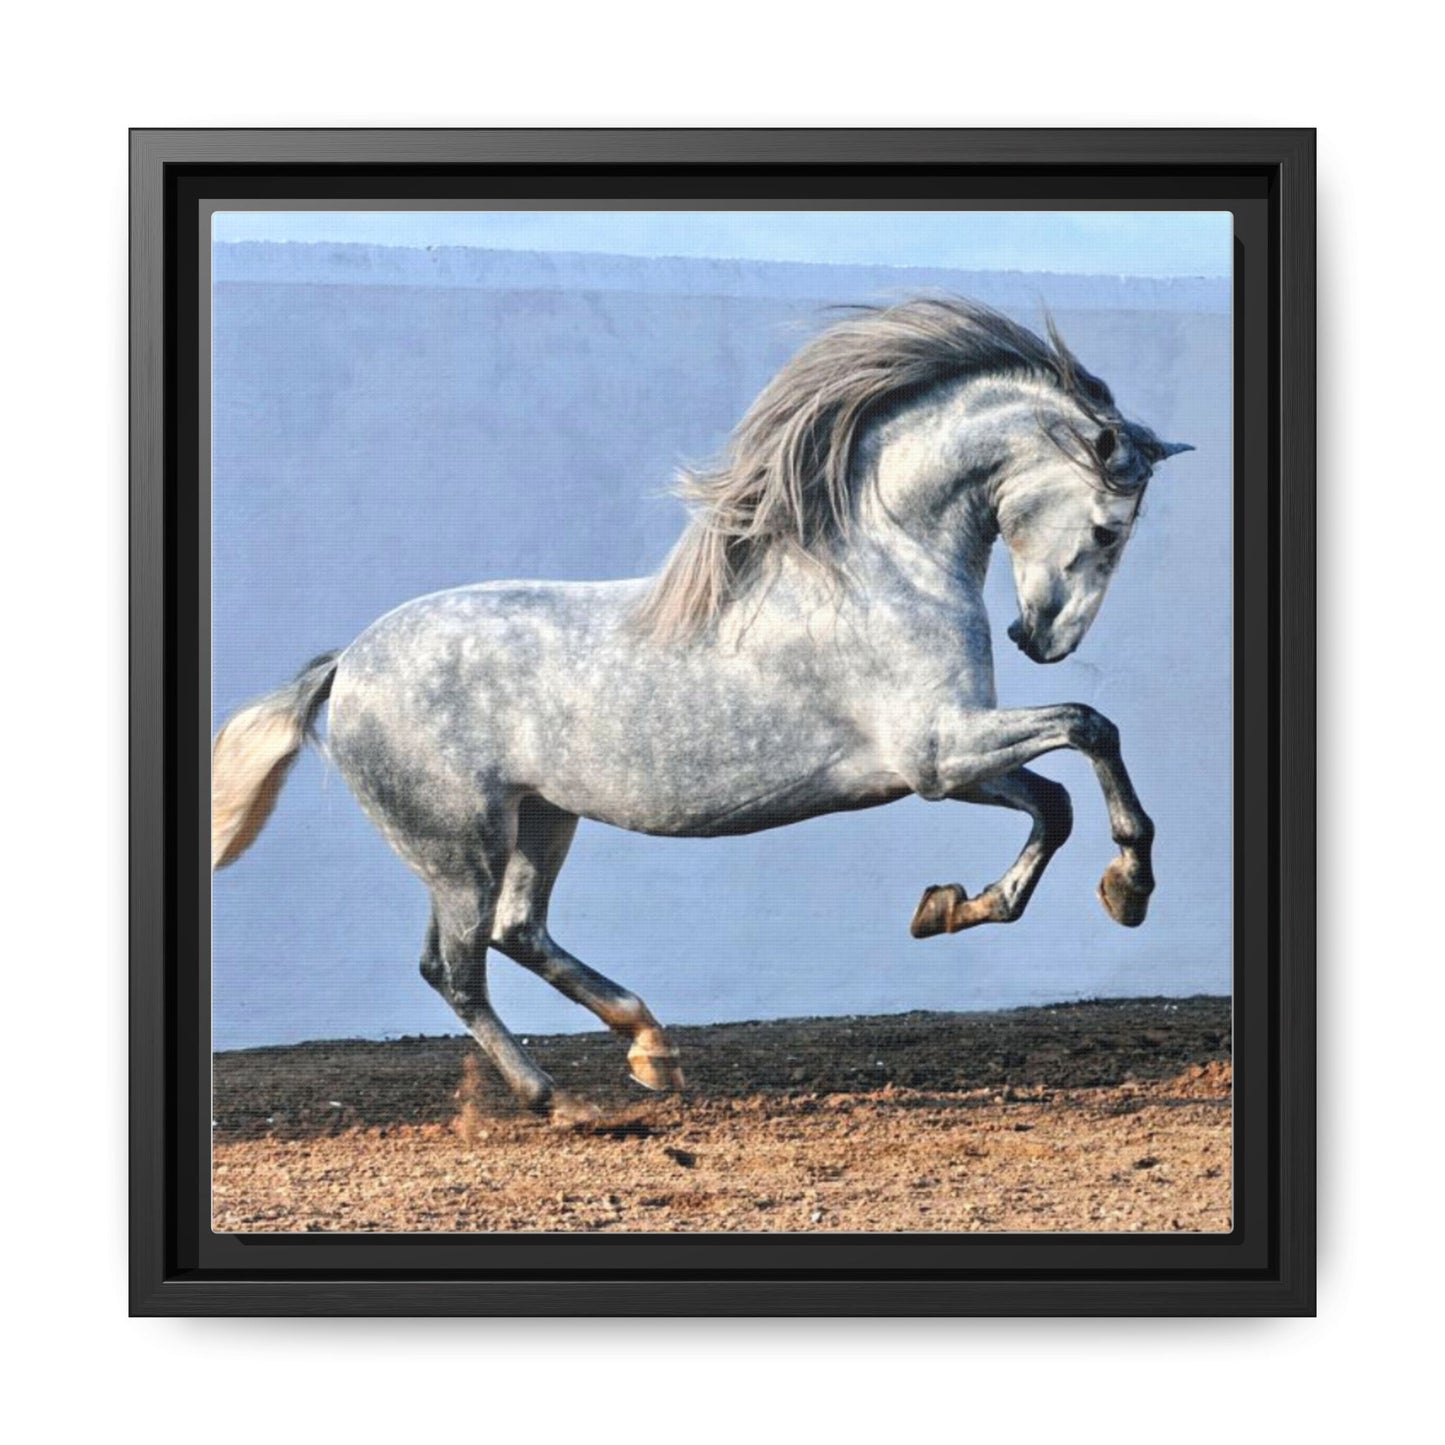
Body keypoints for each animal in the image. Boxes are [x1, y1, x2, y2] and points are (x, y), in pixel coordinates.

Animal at [211, 296, 1192, 1122]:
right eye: (1107, 528)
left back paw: (651, 1048)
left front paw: (953, 906)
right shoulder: (936, 751)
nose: (1040, 639)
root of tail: (346, 666)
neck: (879, 567)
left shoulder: (937, 764)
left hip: (541, 819)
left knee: (517, 931)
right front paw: (1129, 887)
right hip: (458, 846)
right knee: (455, 967)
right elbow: (1089, 727)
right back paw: (556, 1098)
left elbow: (1053, 801)